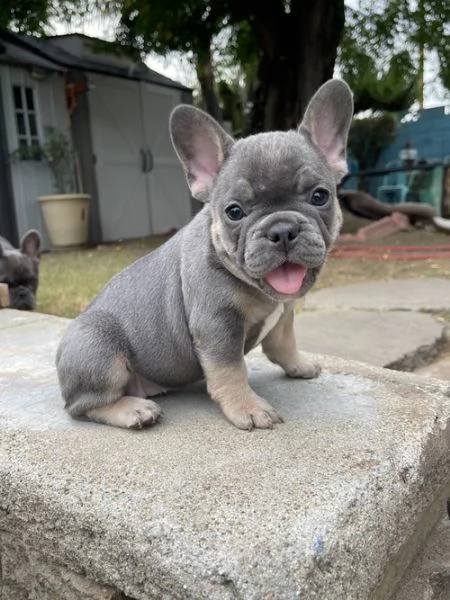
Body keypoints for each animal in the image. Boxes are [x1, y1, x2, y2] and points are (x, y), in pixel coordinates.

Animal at [56, 78, 354, 432]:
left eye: (320, 196)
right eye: (234, 212)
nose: (281, 229)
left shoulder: (283, 315)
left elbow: (284, 343)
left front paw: (299, 364)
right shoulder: (217, 324)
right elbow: (231, 370)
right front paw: (248, 407)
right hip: (99, 350)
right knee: (82, 406)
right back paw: (132, 410)